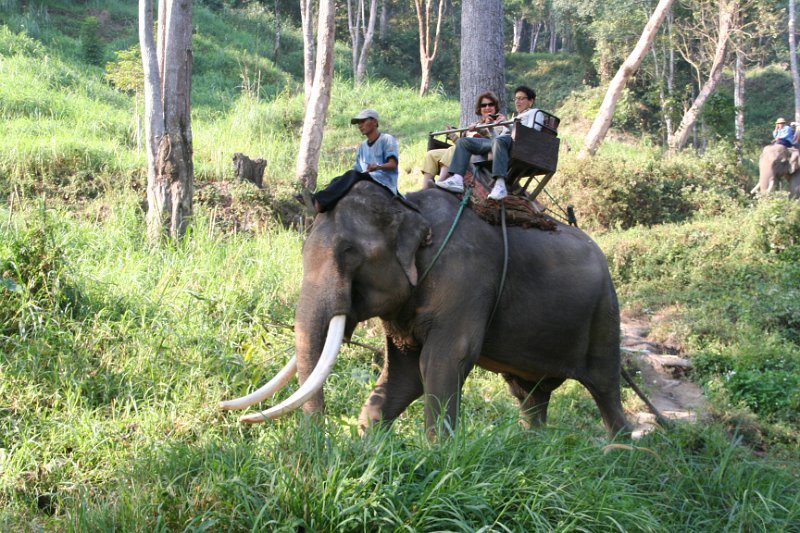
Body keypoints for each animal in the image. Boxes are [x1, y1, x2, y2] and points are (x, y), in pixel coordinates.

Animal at [219, 181, 632, 438]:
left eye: (349, 253)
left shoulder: (468, 280)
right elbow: (404, 373)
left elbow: (443, 361)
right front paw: (368, 443)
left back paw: (620, 452)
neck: (409, 206)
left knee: (605, 386)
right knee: (530, 395)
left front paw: (439, 455)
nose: (228, 411)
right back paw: (533, 446)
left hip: (605, 313)